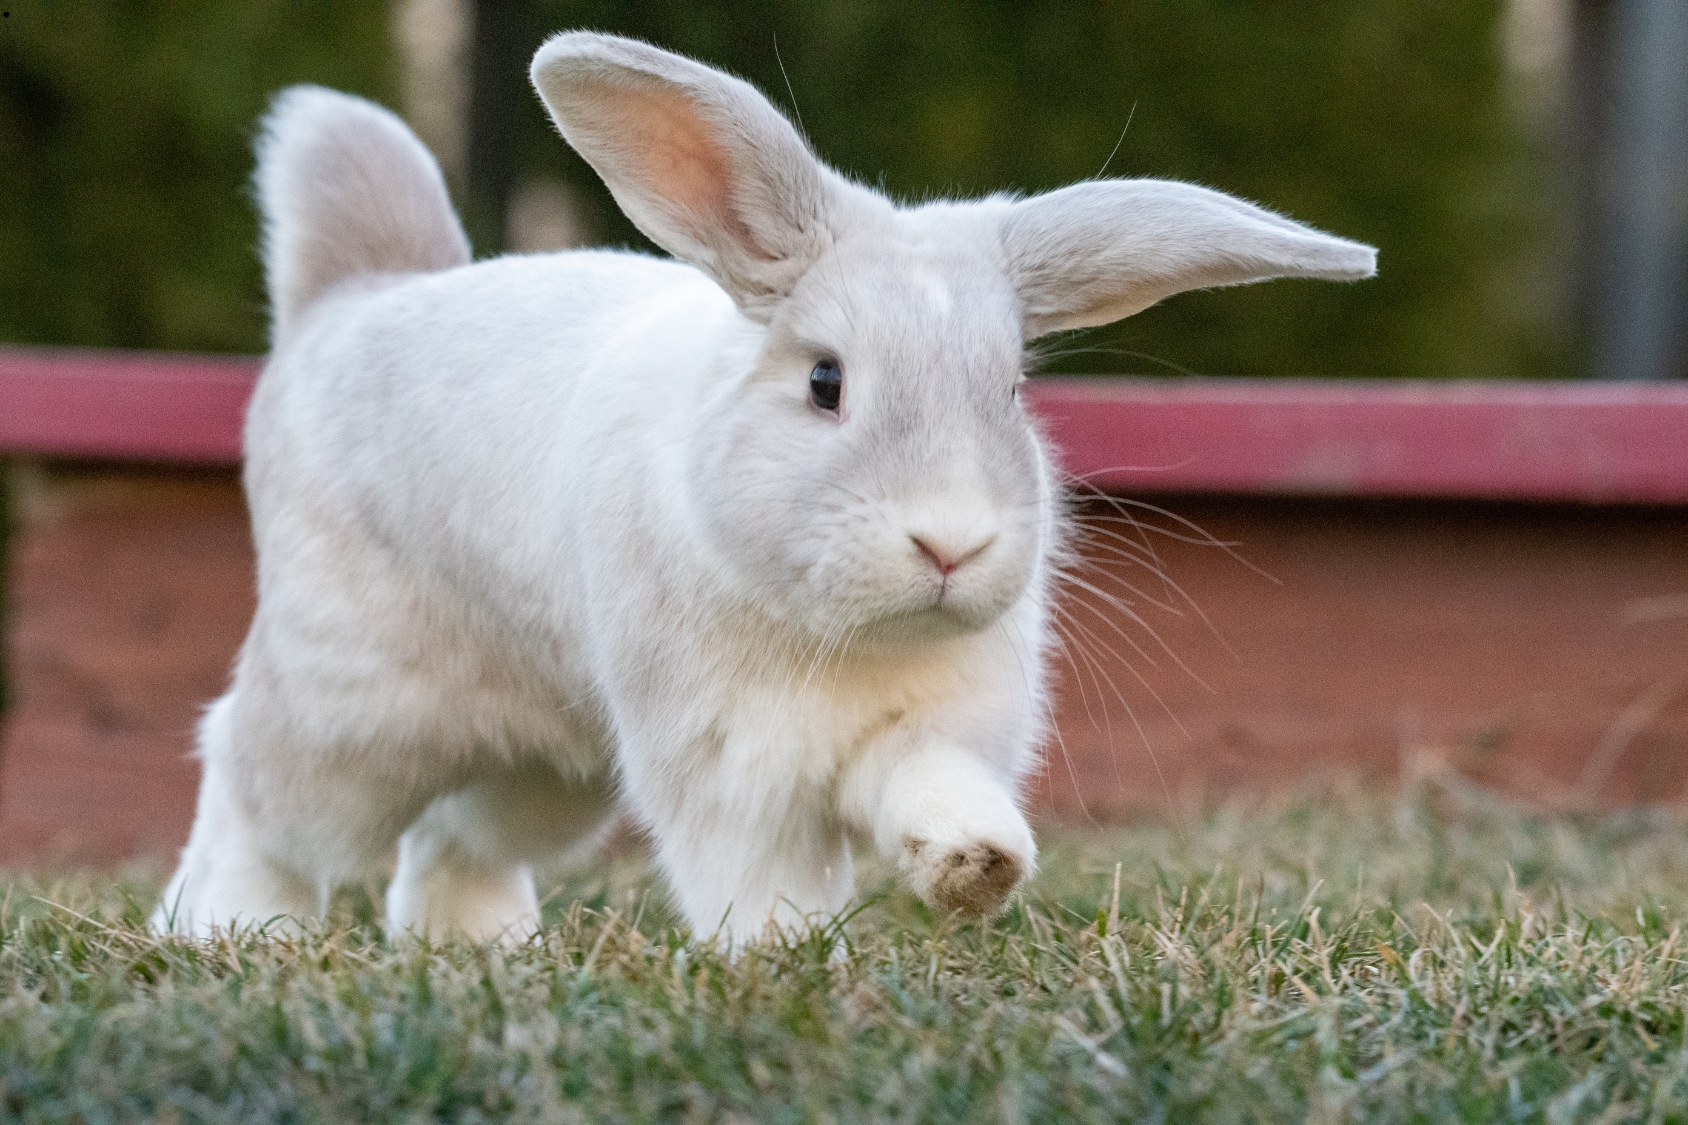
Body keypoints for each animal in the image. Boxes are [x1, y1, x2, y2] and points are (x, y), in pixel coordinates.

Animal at [151, 30, 1377, 939]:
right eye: (826, 382)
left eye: (1011, 387)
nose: (950, 545)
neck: (839, 632)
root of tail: (344, 305)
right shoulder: (729, 770)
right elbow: (759, 882)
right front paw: (784, 962)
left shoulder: (926, 729)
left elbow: (928, 789)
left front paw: (976, 865)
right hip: (353, 708)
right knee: (249, 782)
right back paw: (225, 929)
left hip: (550, 762)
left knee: (455, 836)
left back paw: (481, 946)